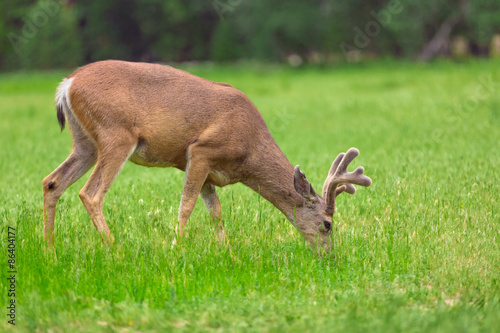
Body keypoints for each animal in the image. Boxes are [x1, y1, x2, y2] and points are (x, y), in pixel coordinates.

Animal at [42, 59, 372, 252]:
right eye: (327, 224)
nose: (329, 257)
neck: (249, 151)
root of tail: (67, 84)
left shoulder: (209, 170)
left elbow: (215, 211)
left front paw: (229, 255)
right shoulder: (200, 151)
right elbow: (186, 206)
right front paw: (176, 251)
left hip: (85, 142)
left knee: (52, 182)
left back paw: (50, 251)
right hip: (116, 134)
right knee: (90, 193)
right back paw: (115, 250)